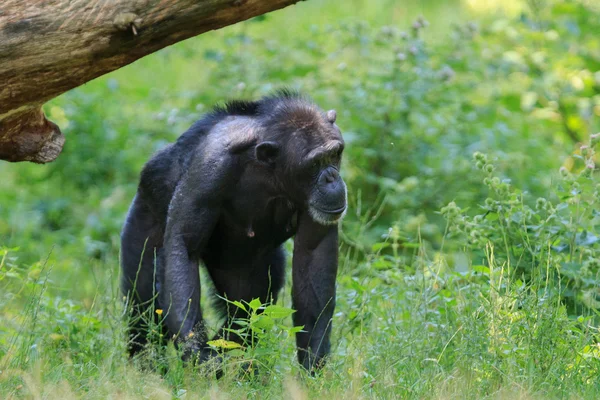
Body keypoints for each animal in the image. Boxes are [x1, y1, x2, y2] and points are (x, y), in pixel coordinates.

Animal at [120, 89, 346, 370]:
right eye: (315, 164)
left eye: (335, 154)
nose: (331, 178)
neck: (271, 172)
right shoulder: (211, 167)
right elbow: (183, 245)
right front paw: (199, 356)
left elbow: (314, 256)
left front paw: (313, 365)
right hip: (143, 211)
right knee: (143, 306)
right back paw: (146, 366)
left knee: (248, 310)